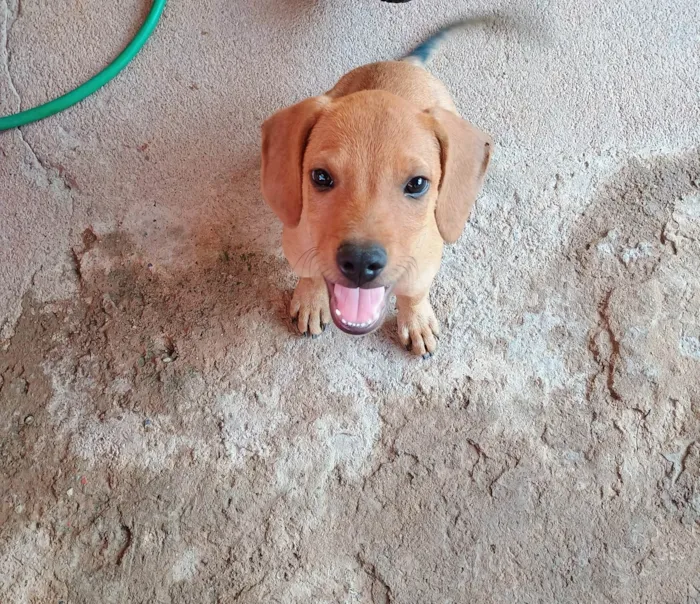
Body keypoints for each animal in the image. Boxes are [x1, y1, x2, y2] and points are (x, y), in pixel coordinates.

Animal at [262, 21, 492, 356]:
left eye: (417, 183)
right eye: (320, 177)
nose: (359, 263)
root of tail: (403, 65)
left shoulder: (423, 266)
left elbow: (414, 294)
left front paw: (416, 321)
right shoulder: (297, 244)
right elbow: (310, 274)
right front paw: (311, 300)